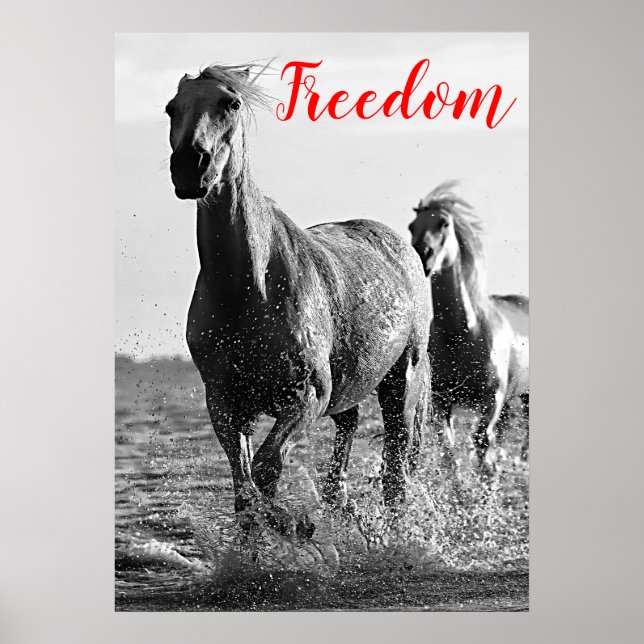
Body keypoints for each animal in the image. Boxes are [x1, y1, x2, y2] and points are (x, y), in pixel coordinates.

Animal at [165, 64, 431, 534]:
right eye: (170, 108)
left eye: (230, 103)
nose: (189, 167)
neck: (248, 292)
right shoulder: (225, 403)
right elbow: (245, 491)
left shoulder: (305, 396)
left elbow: (267, 470)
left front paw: (294, 527)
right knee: (348, 434)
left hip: (402, 383)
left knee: (396, 474)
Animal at [408, 182, 529, 475]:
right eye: (411, 226)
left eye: (443, 223)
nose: (422, 255)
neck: (463, 334)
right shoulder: (442, 401)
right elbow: (449, 450)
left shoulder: (491, 400)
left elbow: (482, 444)